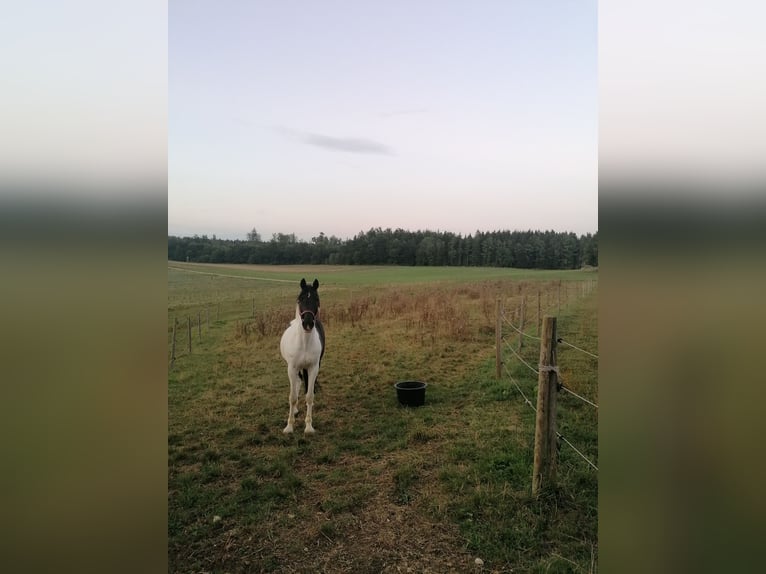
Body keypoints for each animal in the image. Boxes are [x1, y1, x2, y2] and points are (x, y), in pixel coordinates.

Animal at [280, 280, 326, 436]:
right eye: (300, 299)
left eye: (316, 299)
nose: (307, 323)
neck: (304, 342)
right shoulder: (292, 368)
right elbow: (292, 397)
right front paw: (289, 427)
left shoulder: (313, 368)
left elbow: (309, 396)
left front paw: (309, 426)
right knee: (297, 384)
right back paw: (294, 411)